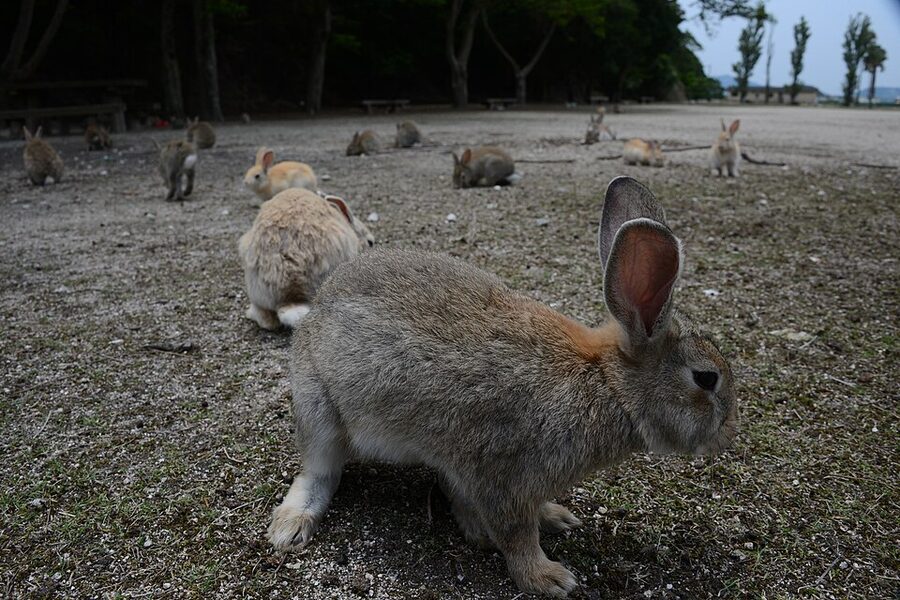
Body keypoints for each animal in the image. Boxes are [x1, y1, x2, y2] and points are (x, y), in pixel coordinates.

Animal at [266, 176, 738, 598]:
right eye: (706, 378)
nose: (728, 435)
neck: (607, 385)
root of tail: (317, 308)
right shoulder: (502, 474)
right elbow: (516, 534)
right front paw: (548, 578)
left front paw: (556, 518)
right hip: (319, 410)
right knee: (320, 472)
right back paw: (290, 527)